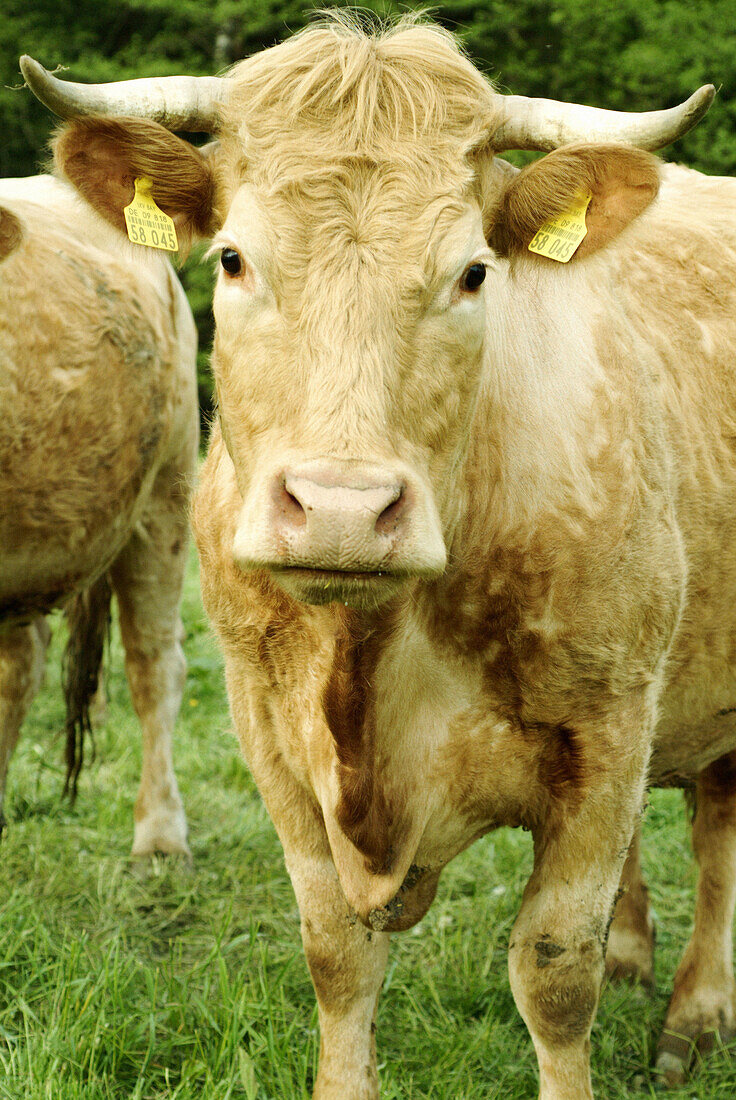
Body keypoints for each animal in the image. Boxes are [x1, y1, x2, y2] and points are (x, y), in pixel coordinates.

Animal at [21, 12, 734, 1095]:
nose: (342, 510)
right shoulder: (269, 731)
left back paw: (694, 1012)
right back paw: (634, 952)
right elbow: (337, 954)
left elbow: (553, 972)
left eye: (473, 272)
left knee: (715, 827)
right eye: (233, 259)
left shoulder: (605, 734)